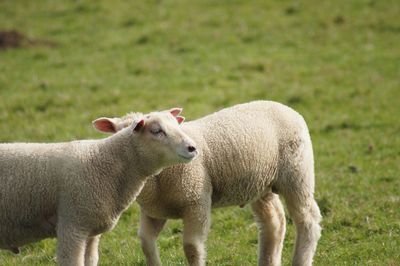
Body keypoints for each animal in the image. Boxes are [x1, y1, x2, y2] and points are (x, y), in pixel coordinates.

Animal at [0, 108, 198, 266]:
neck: (100, 162)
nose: (192, 148)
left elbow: (91, 261)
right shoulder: (71, 224)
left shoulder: (90, 230)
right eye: (157, 131)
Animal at [95, 100, 324, 266]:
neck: (158, 177)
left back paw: (301, 259)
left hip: (297, 174)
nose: (191, 148)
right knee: (274, 222)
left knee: (307, 219)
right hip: (260, 184)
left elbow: (191, 247)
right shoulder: (154, 211)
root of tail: (284, 106)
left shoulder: (197, 202)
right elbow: (146, 244)